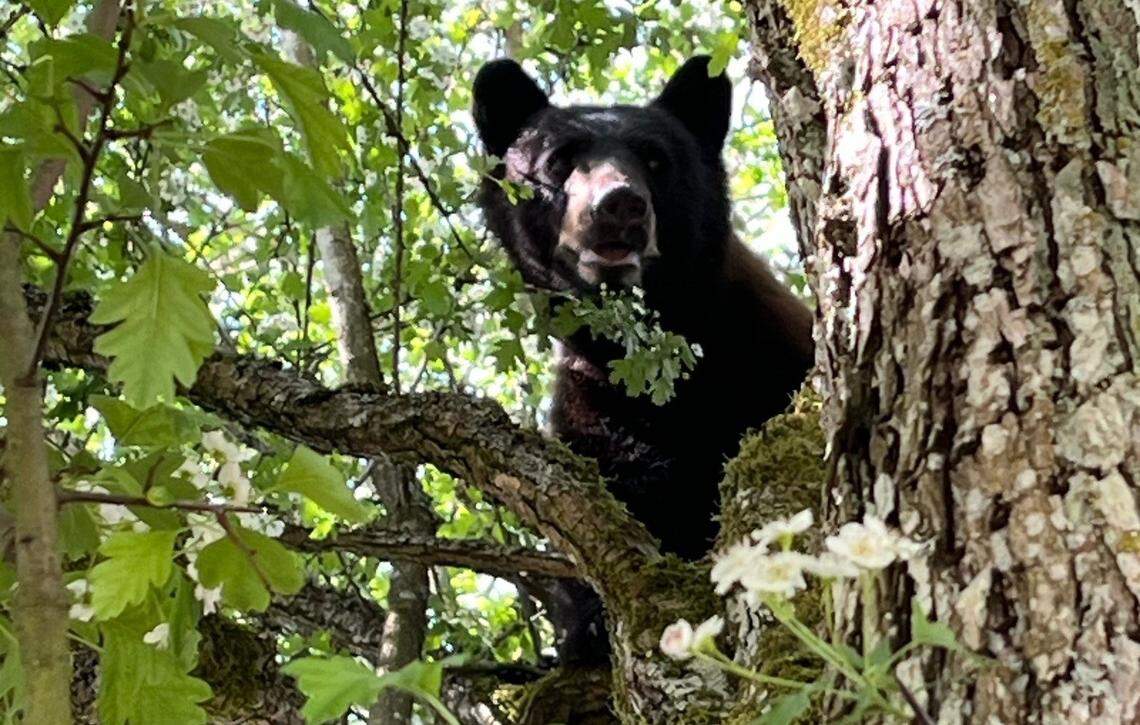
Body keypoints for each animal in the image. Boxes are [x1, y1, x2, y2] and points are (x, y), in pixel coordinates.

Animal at [473, 55, 814, 664]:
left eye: (655, 158)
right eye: (560, 160)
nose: (619, 205)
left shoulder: (768, 357)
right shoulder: (596, 404)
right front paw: (586, 630)